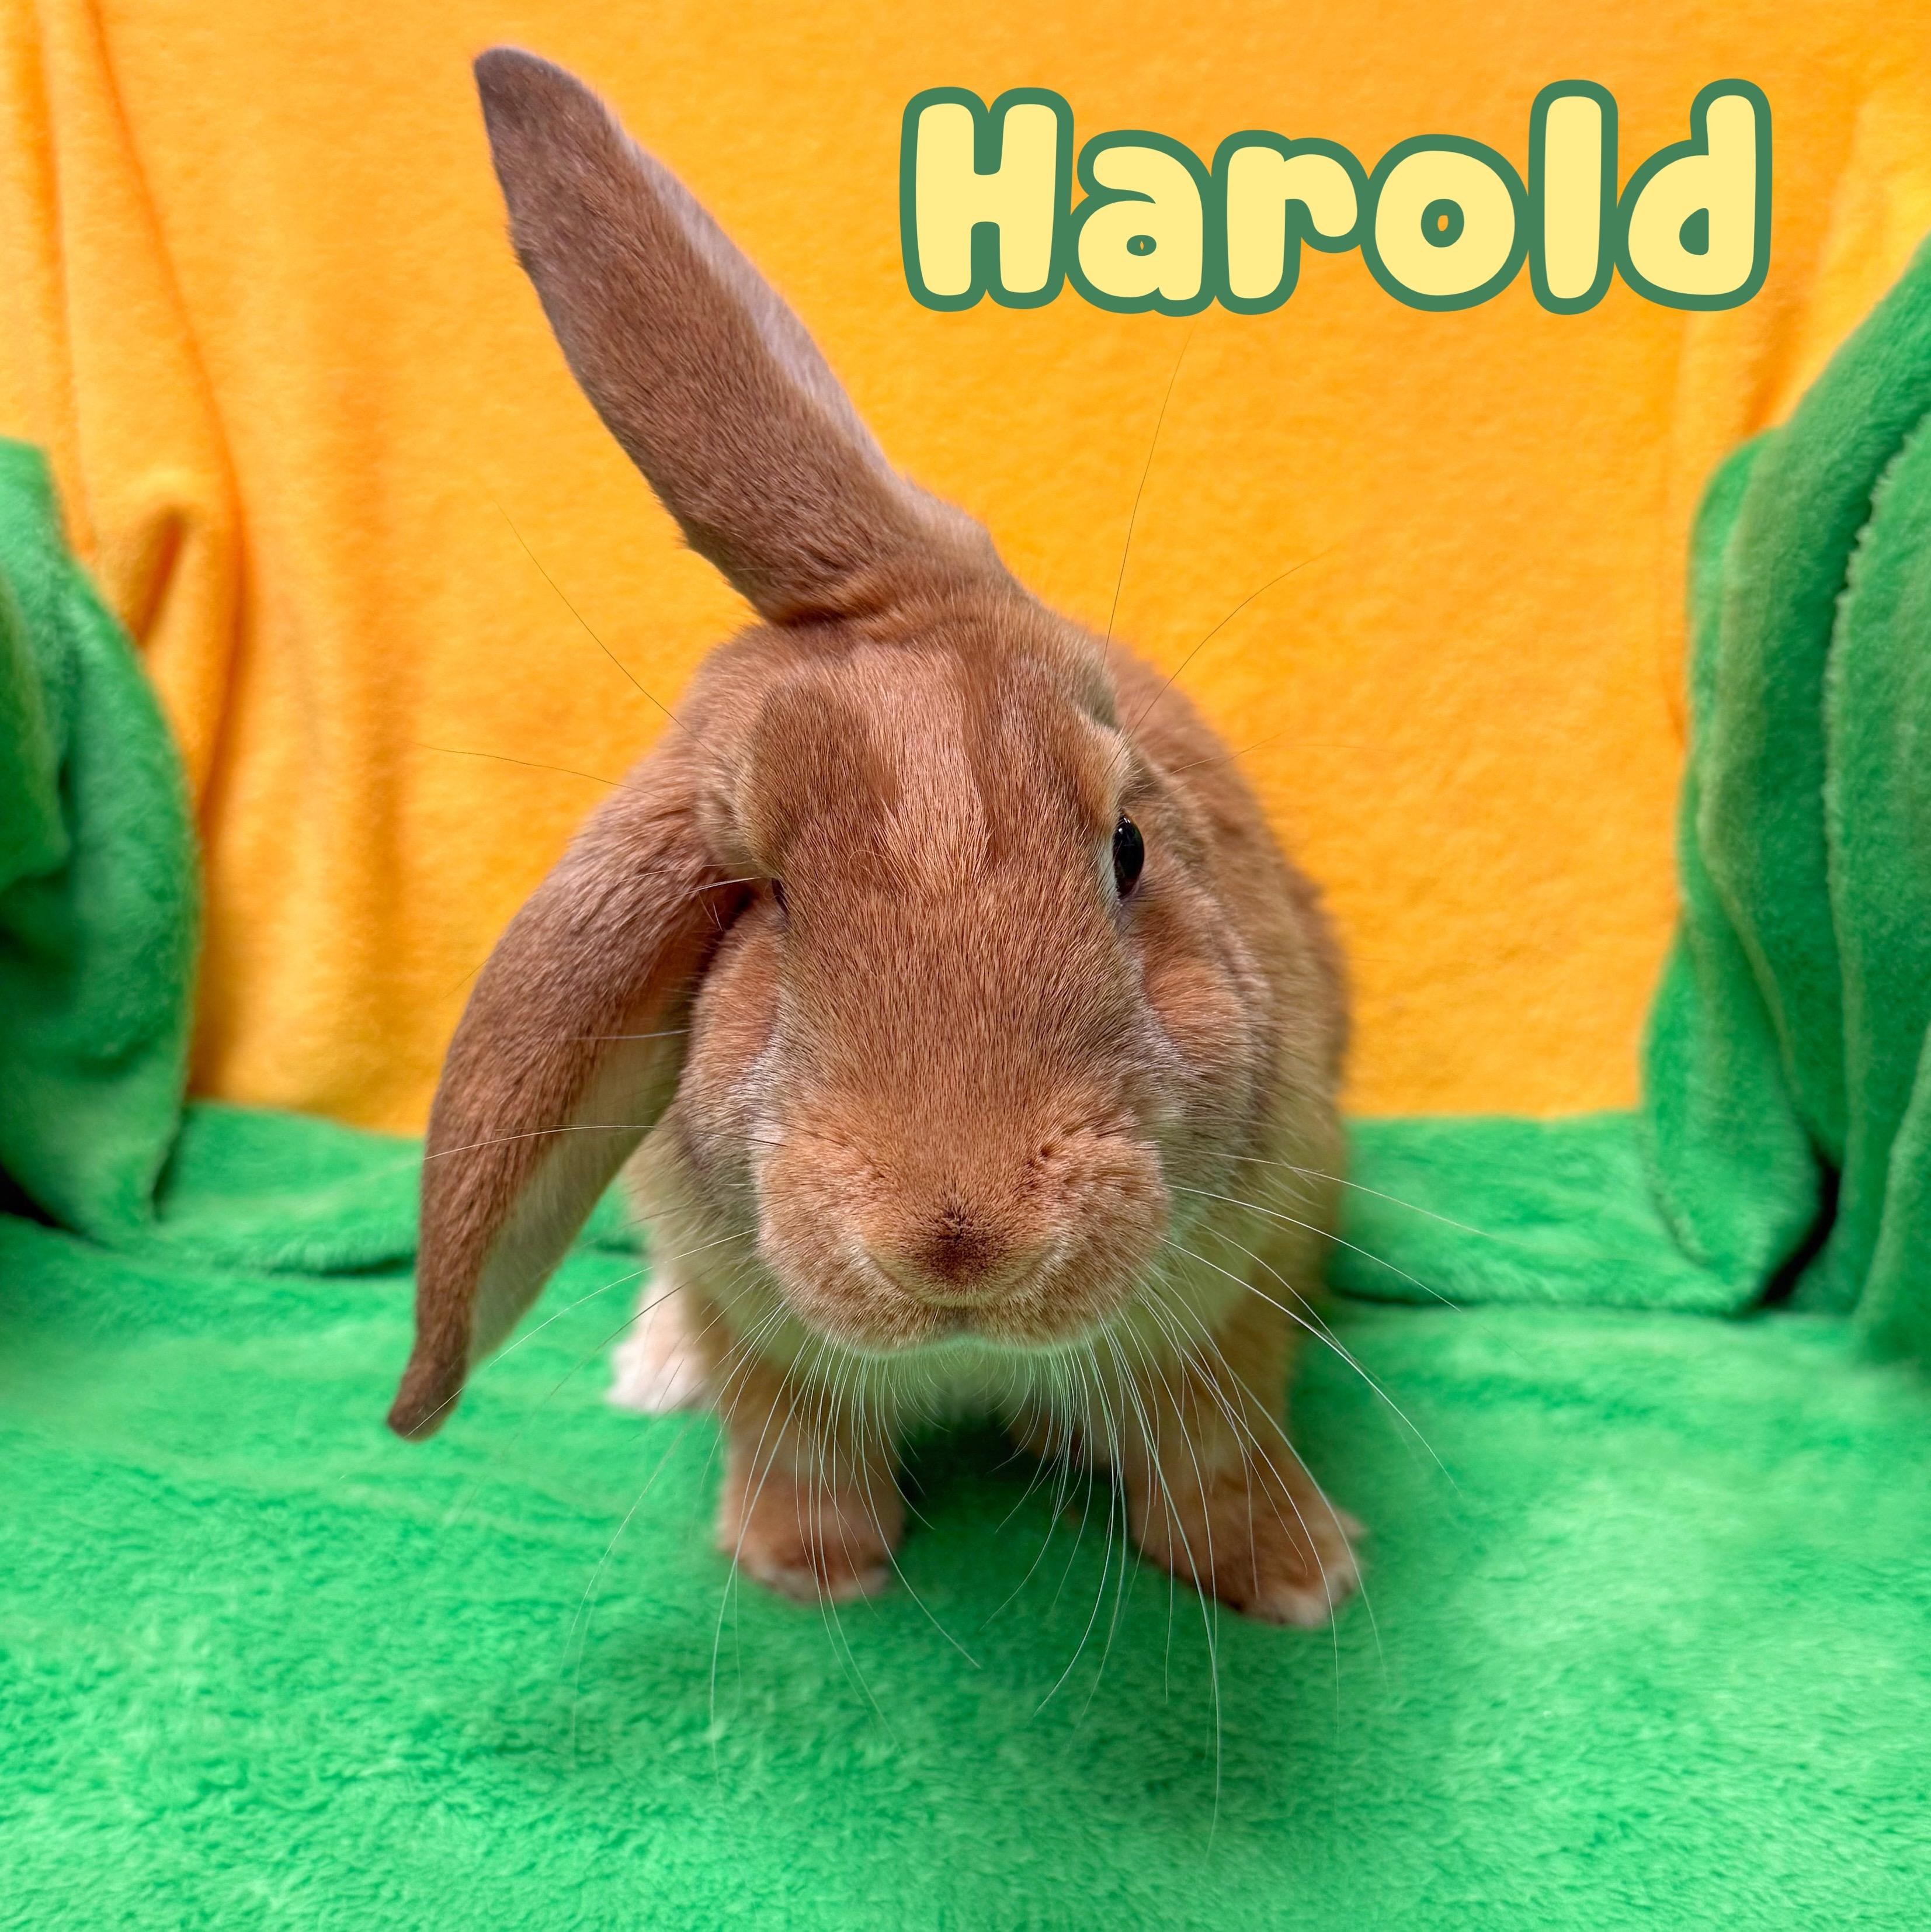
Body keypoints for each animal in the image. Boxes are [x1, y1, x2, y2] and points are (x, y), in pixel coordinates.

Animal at [388, 46, 1361, 1627]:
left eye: (1129, 847)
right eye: (765, 900)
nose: (958, 1237)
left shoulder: (1244, 1281)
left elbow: (1215, 1440)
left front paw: (1293, 1576)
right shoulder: (751, 1316)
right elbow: (786, 1426)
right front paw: (807, 1566)